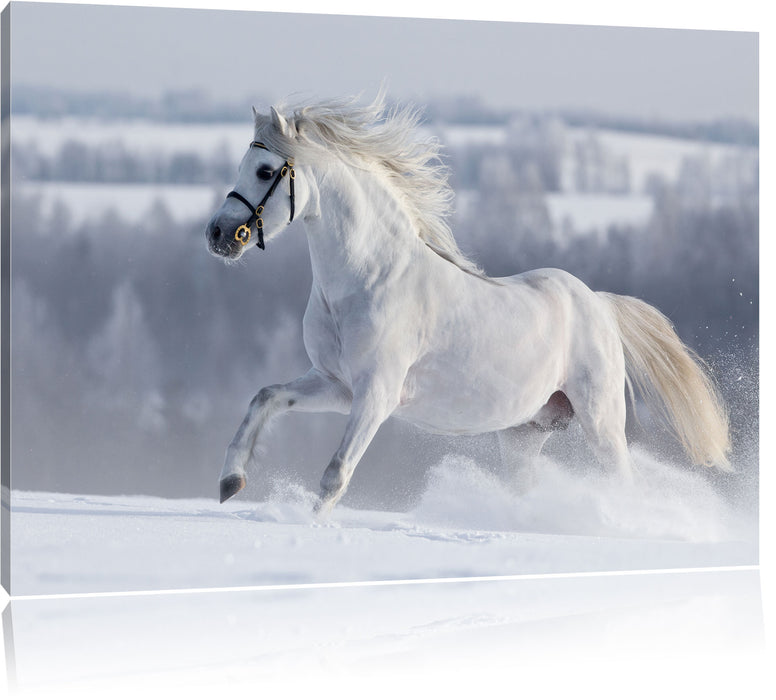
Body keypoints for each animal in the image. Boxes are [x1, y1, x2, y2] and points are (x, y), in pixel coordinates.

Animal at [205, 96, 731, 517]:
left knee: (623, 483)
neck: (367, 280)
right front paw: (230, 482)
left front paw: (310, 528)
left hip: (601, 423)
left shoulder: (377, 394)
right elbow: (265, 398)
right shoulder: (336, 385)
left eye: (265, 171)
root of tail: (598, 305)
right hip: (524, 432)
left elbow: (336, 474)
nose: (219, 234)